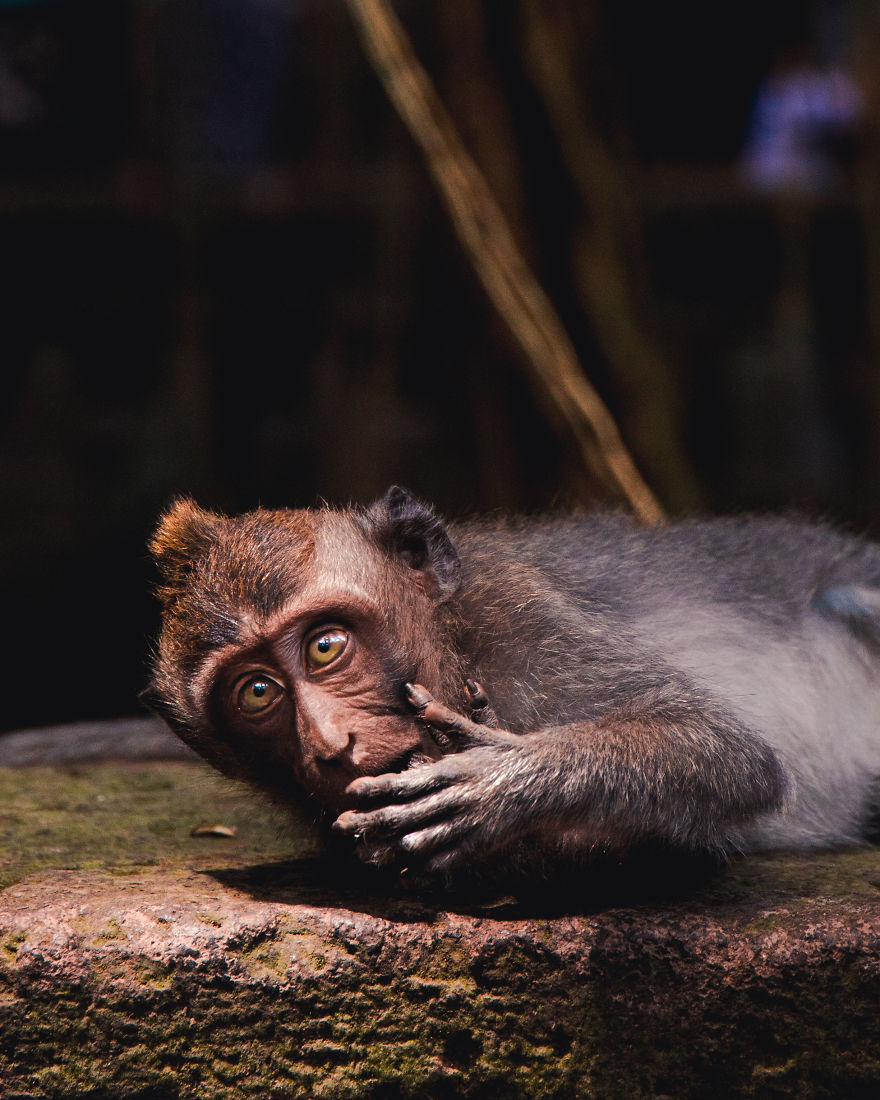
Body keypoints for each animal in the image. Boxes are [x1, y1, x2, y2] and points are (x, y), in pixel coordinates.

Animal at [145, 485, 880, 882]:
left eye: (326, 646)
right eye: (258, 693)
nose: (332, 743)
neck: (452, 642)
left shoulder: (519, 621)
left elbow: (726, 750)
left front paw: (503, 782)